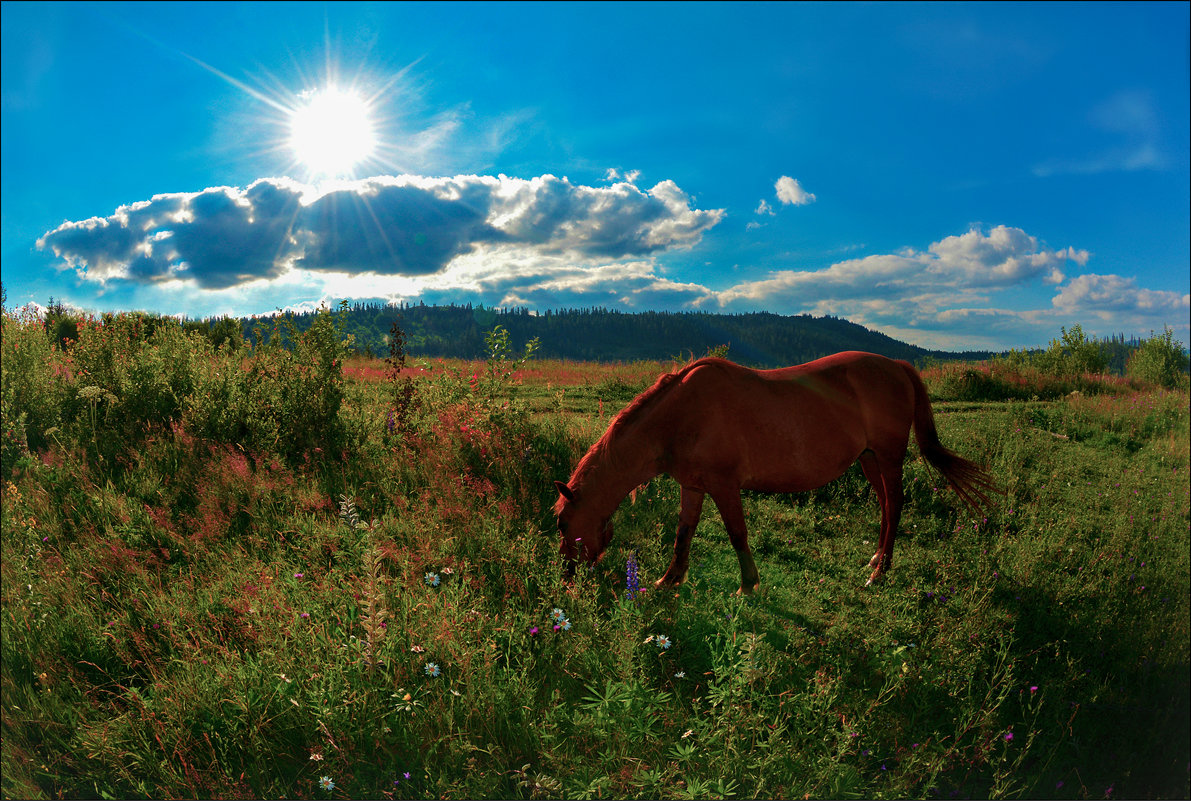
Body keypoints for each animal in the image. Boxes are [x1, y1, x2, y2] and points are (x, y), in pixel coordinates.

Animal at [552, 352, 1000, 590]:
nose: (567, 577)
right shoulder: (693, 486)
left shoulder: (724, 485)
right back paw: (875, 560)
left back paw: (881, 571)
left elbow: (737, 533)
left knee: (897, 503)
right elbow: (684, 533)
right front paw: (669, 580)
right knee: (888, 506)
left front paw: (748, 583)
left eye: (562, 524)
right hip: (870, 458)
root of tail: (895, 364)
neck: (680, 416)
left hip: (888, 457)